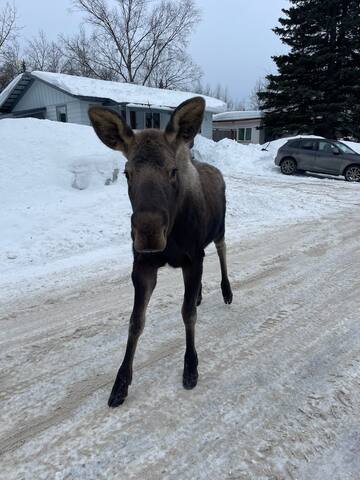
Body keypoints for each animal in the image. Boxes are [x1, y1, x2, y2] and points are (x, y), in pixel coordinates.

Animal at [88, 98, 232, 408]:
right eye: (127, 172)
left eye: (172, 170)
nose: (148, 233)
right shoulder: (143, 264)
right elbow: (135, 322)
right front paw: (121, 383)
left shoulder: (192, 258)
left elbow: (188, 314)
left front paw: (191, 367)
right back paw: (200, 293)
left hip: (220, 229)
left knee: (223, 252)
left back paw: (227, 291)